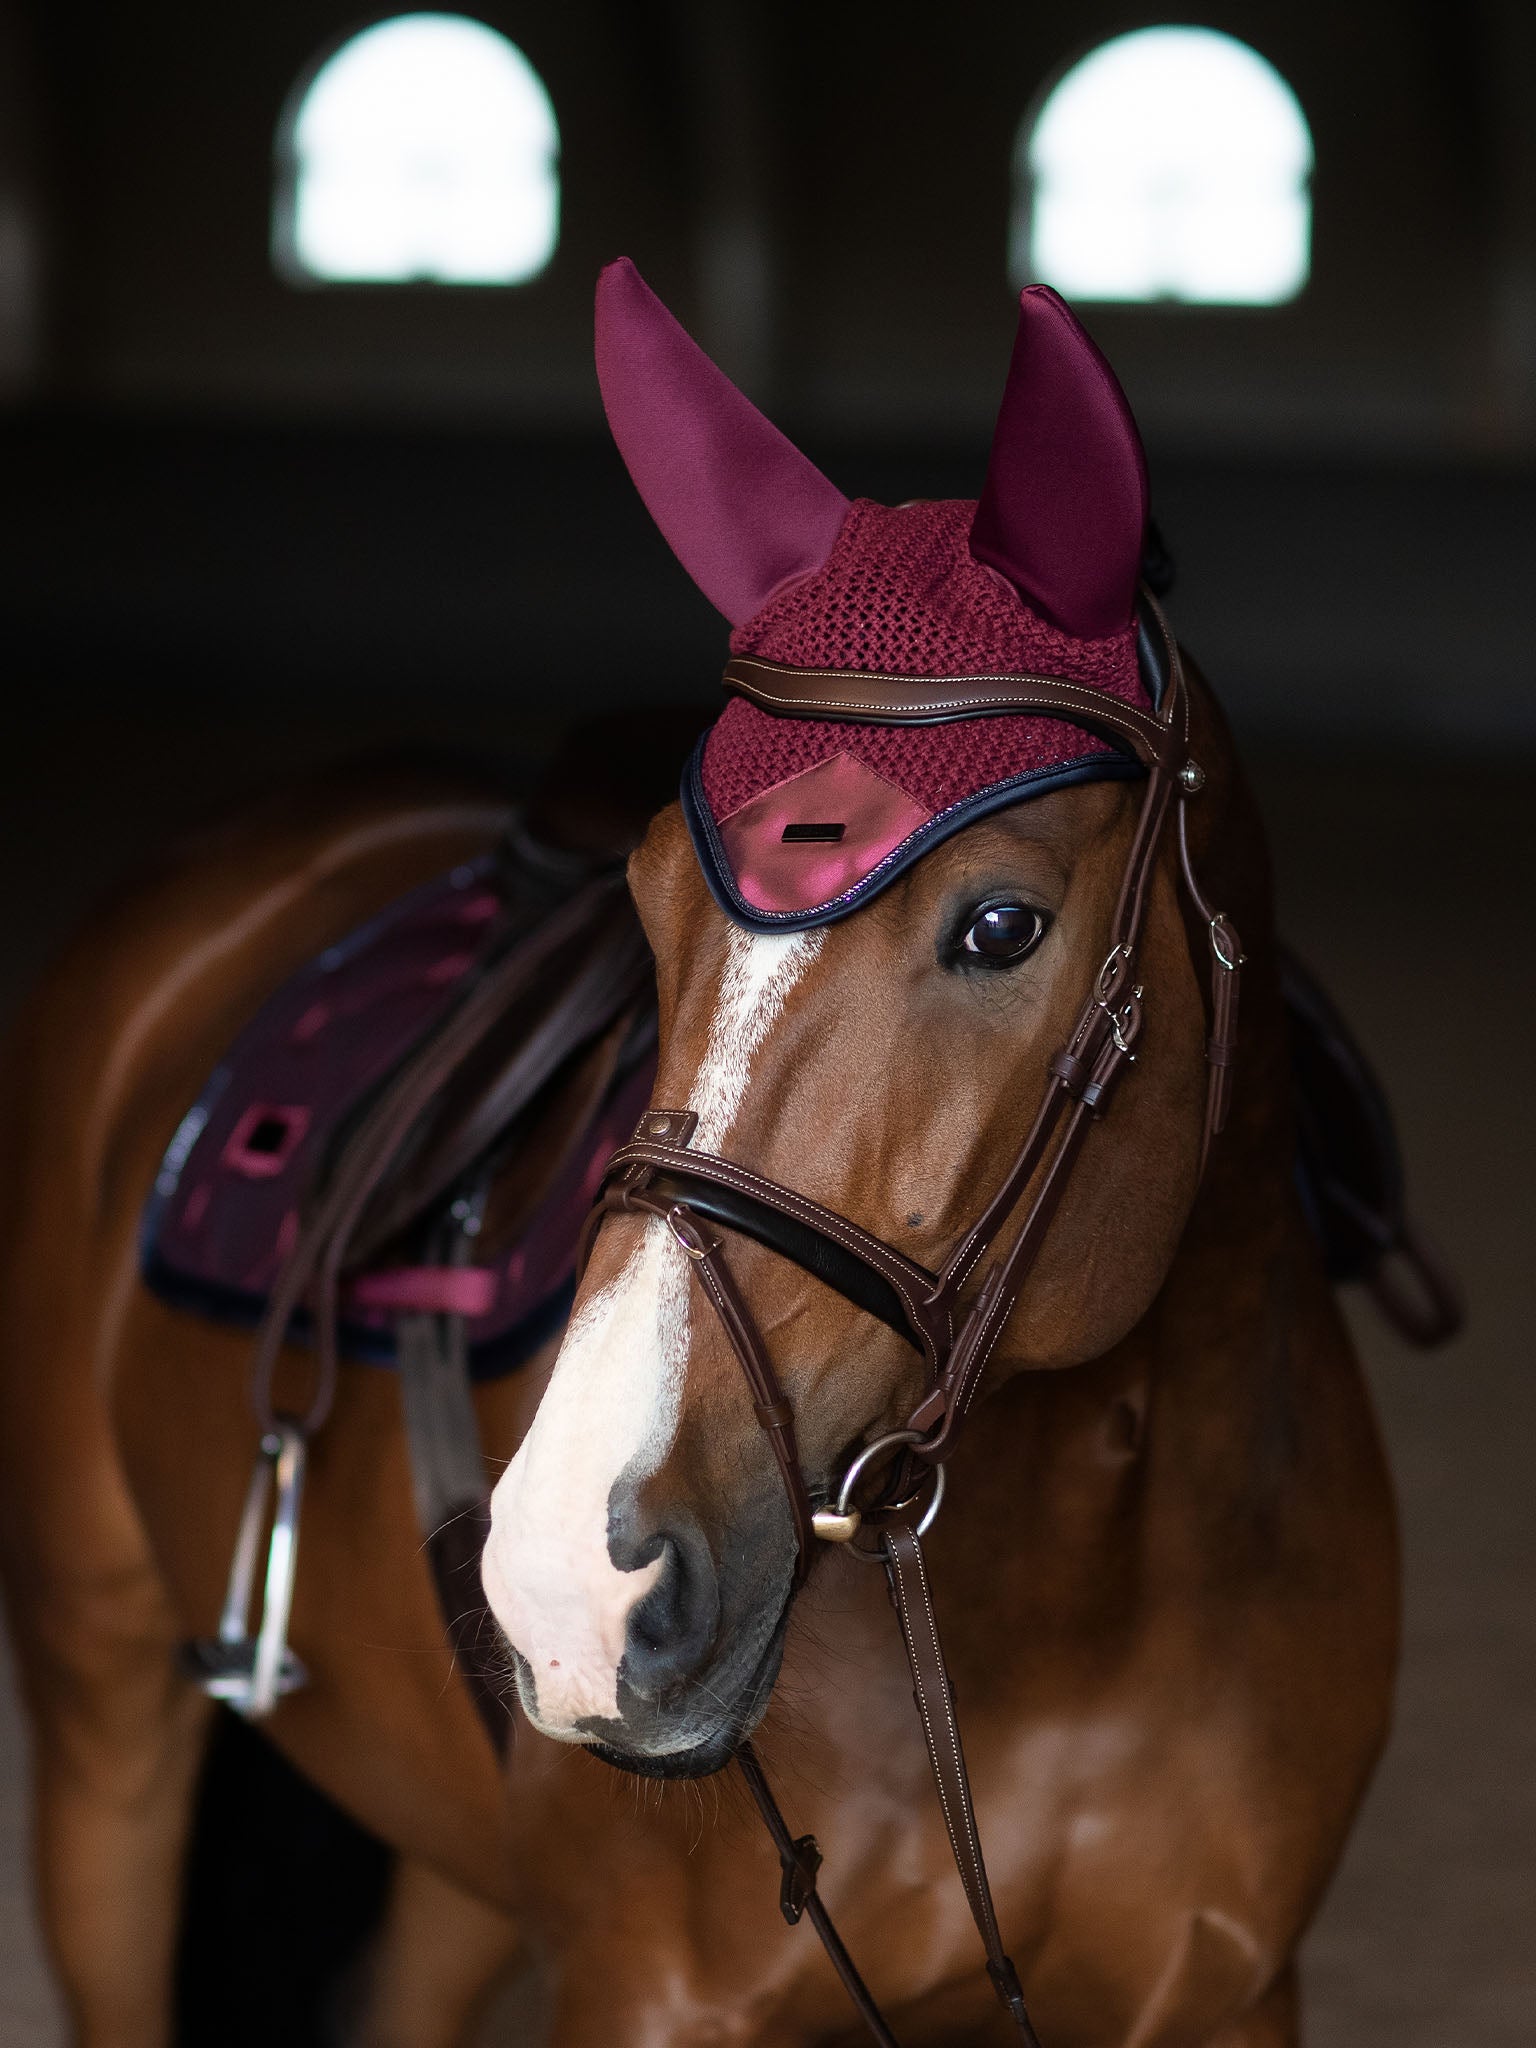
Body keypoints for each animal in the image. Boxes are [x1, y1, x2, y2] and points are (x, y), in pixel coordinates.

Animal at [0, 260, 1417, 2048]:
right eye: (650, 894)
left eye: (1002, 925)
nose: (565, 1578)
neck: (1073, 1589)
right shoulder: (648, 1996)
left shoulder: (1230, 1992)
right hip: (105, 1709)